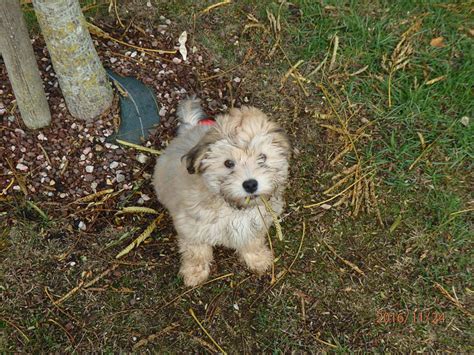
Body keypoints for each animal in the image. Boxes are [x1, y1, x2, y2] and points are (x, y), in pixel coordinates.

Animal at [154, 98, 290, 288]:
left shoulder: (255, 224)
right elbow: (196, 251)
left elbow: (252, 242)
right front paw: (194, 273)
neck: (232, 207)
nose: (250, 184)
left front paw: (258, 259)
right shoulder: (191, 227)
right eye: (228, 163)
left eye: (262, 158)